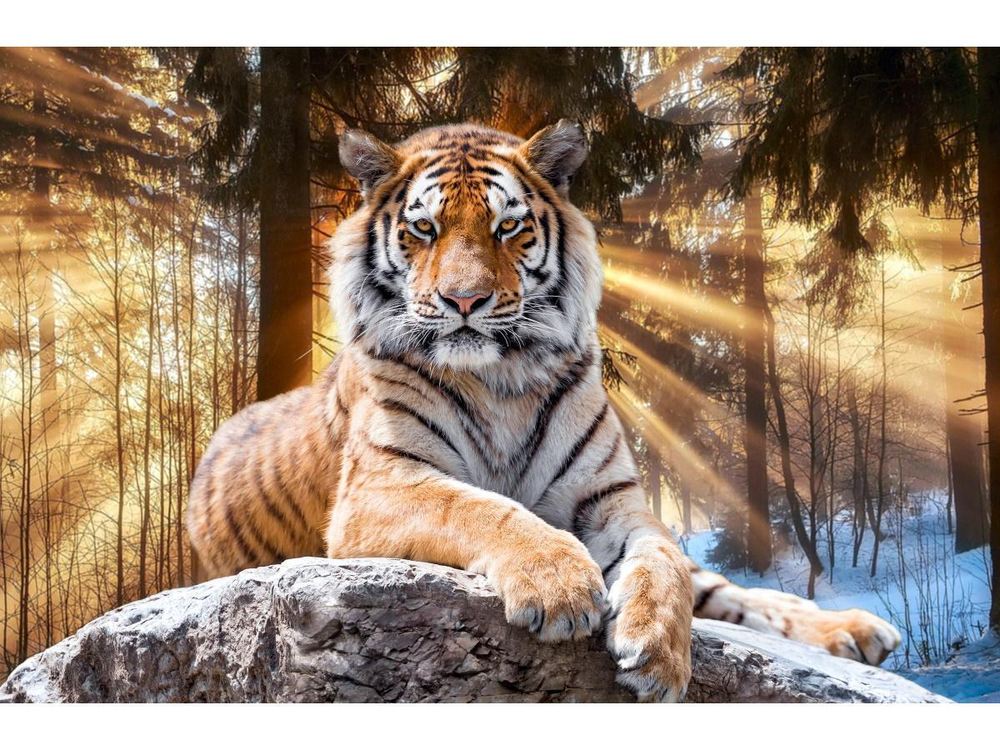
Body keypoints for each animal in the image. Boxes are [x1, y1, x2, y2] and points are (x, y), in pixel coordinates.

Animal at [185, 120, 902, 702]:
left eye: (508, 226)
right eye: (424, 229)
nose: (464, 301)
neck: (501, 377)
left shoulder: (613, 502)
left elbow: (662, 560)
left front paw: (659, 653)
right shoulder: (382, 486)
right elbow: (482, 507)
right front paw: (561, 586)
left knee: (729, 589)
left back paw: (857, 631)